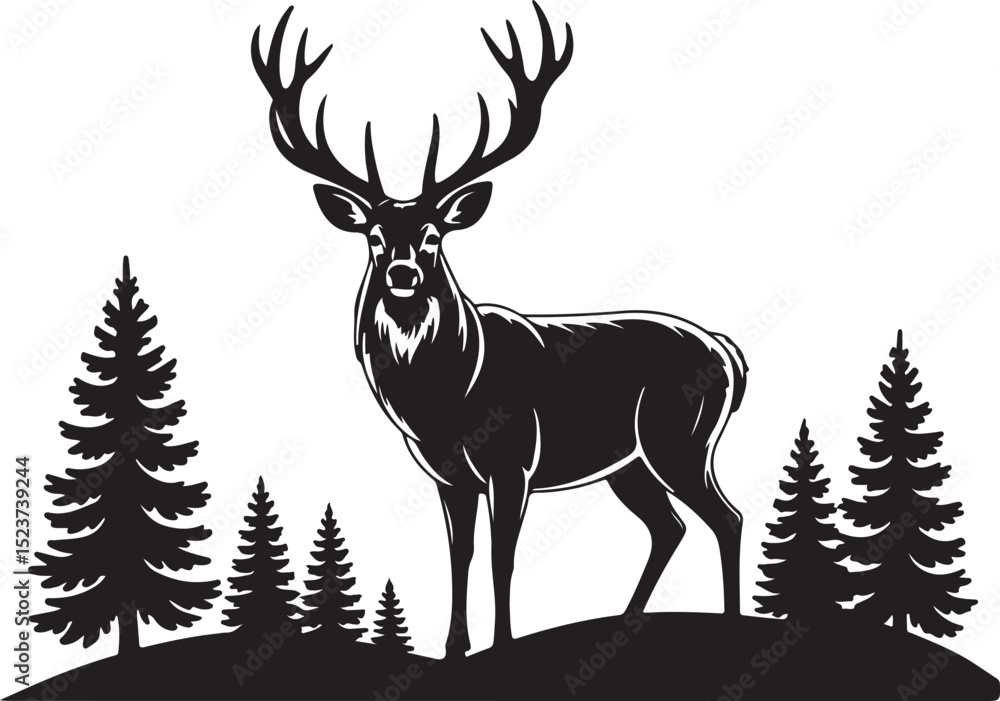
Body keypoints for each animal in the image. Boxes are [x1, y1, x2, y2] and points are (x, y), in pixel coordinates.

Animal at [253, 3, 748, 657]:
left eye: (433, 235)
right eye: (375, 236)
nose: (403, 274)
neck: (445, 397)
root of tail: (729, 354)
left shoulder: (512, 462)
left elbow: (501, 557)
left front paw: (504, 643)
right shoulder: (447, 475)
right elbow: (459, 554)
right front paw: (453, 647)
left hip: (681, 437)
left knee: (725, 517)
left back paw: (730, 622)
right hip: (631, 462)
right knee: (668, 526)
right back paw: (626, 620)